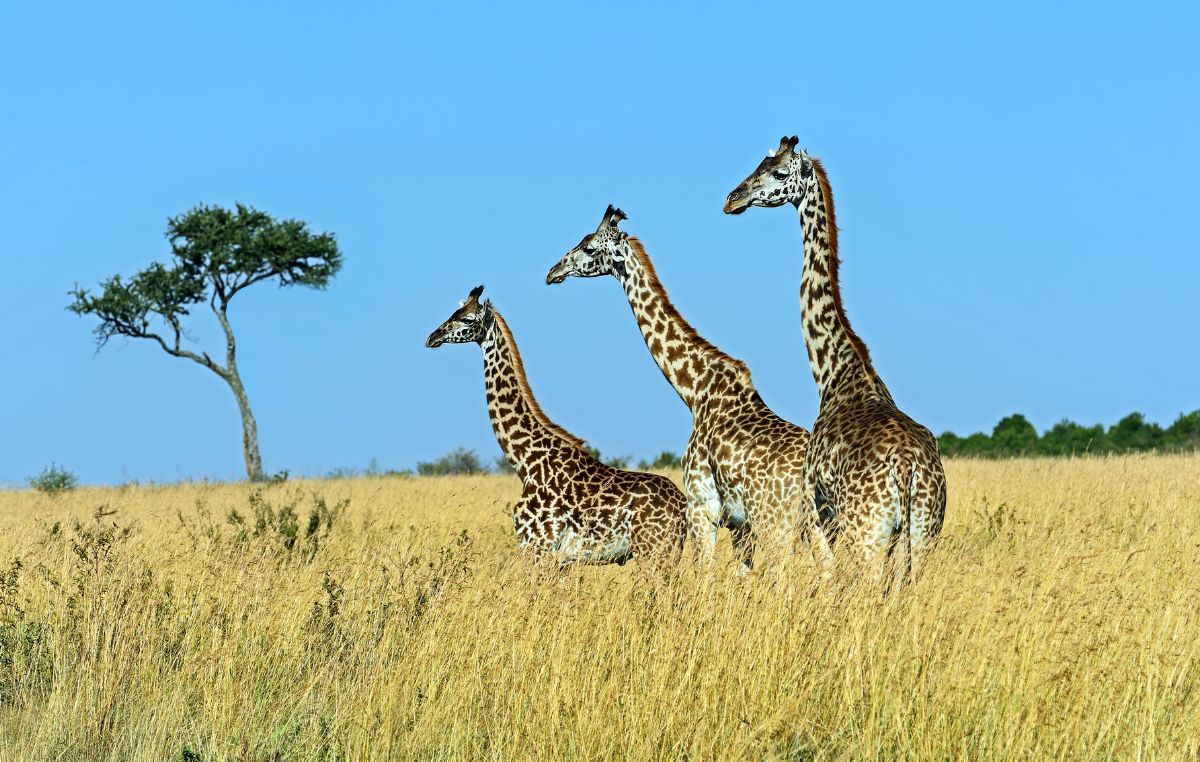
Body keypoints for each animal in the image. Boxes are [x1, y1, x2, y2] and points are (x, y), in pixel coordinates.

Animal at [424, 284, 686, 566]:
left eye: (468, 319)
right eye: (455, 312)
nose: (432, 337)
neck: (525, 461)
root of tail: (683, 506)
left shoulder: (537, 548)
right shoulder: (559, 561)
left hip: (653, 551)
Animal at [547, 208, 816, 571]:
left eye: (589, 247)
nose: (553, 271)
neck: (695, 390)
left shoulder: (703, 507)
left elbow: (704, 572)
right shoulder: (739, 525)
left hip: (776, 521)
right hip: (815, 523)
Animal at [720, 135, 945, 583]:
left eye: (779, 173)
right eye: (758, 164)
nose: (732, 199)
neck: (834, 370)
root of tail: (907, 467)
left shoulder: (817, 508)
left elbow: (825, 576)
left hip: (867, 533)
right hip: (922, 534)